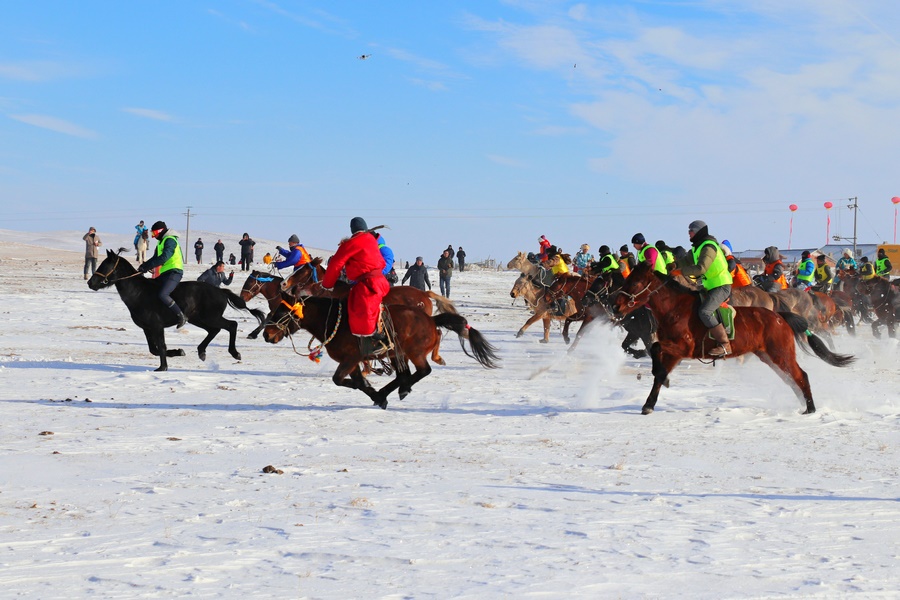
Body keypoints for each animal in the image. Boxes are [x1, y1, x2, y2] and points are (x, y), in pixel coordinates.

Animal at [88, 249, 266, 371]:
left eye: (106, 265)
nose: (91, 283)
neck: (139, 293)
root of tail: (220, 291)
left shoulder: (157, 326)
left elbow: (161, 346)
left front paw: (163, 367)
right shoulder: (147, 328)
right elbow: (153, 349)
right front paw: (178, 352)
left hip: (211, 317)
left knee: (231, 325)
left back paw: (235, 353)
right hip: (198, 319)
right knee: (214, 330)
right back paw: (201, 352)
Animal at [262, 294, 499, 409]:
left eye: (281, 312)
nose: (266, 334)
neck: (334, 322)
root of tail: (431, 320)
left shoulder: (351, 358)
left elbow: (340, 380)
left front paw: (376, 394)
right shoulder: (352, 362)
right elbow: (356, 382)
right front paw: (377, 394)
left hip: (413, 352)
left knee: (423, 371)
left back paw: (400, 390)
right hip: (397, 354)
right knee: (404, 375)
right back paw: (396, 390)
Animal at [612, 261, 854, 415]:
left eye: (635, 283)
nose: (616, 307)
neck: (674, 308)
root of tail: (779, 315)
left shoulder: (682, 347)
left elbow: (655, 351)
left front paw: (655, 393)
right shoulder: (674, 352)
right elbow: (657, 367)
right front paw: (651, 399)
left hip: (780, 353)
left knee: (800, 376)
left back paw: (810, 408)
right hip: (768, 356)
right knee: (790, 379)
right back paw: (804, 405)